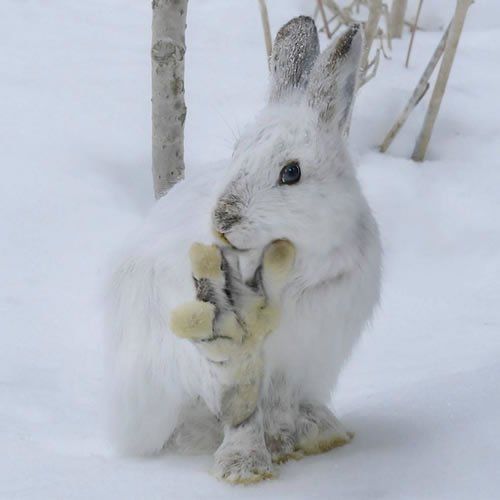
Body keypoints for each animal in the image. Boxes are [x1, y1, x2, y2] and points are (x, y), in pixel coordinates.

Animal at [108, 17, 382, 482]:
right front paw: (245, 467)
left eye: (291, 172)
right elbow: (244, 416)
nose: (222, 218)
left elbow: (281, 405)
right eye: (237, 152)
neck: (298, 260)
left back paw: (321, 431)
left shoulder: (304, 360)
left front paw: (295, 441)